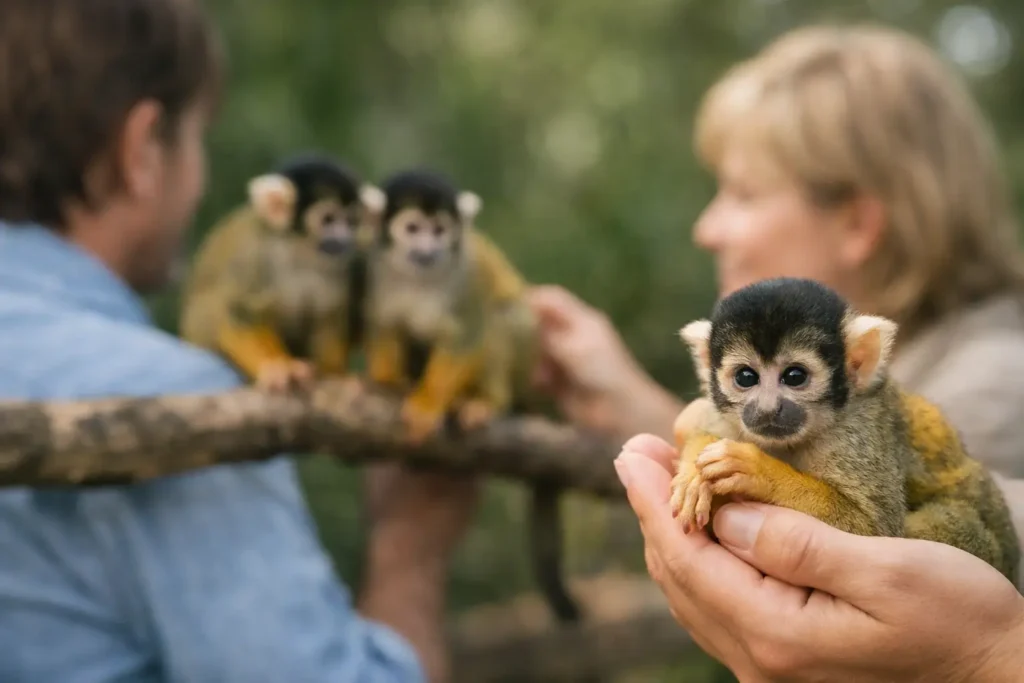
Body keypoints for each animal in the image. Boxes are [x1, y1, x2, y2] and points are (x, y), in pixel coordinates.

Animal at [179, 152, 383, 391]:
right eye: (328, 219)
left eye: (351, 221)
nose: (343, 239)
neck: (300, 251)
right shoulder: (256, 255)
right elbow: (241, 312)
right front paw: (274, 367)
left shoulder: (341, 265)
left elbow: (329, 316)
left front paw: (333, 373)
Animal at [359, 167, 585, 624]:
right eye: (413, 228)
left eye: (439, 230)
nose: (428, 250)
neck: (418, 277)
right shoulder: (375, 271)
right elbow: (386, 327)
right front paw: (386, 383)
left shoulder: (463, 281)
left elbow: (468, 335)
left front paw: (428, 405)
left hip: (522, 360)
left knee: (500, 314)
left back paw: (485, 401)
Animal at [669, 277, 1020, 585]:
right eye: (746, 377)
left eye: (795, 376)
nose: (768, 409)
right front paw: (693, 473)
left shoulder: (859, 434)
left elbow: (875, 529)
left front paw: (758, 471)